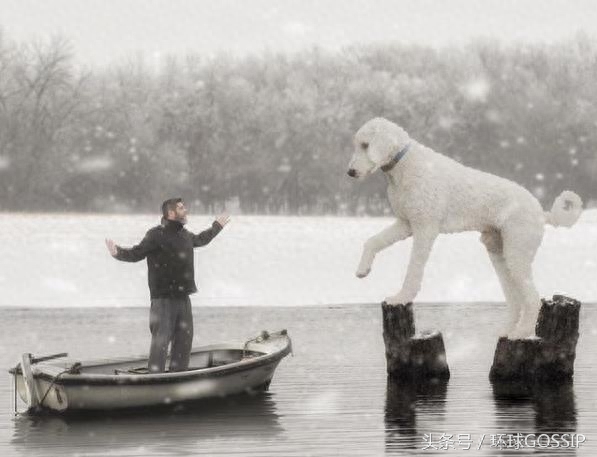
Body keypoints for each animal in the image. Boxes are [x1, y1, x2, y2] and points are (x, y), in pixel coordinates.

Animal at [346, 117, 580, 338]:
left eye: (366, 145)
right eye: (357, 145)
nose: (350, 172)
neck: (405, 166)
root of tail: (542, 213)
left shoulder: (424, 228)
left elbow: (413, 269)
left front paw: (401, 297)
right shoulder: (405, 224)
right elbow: (373, 241)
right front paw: (363, 270)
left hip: (517, 252)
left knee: (532, 298)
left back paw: (521, 333)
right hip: (499, 253)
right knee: (515, 299)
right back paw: (506, 331)